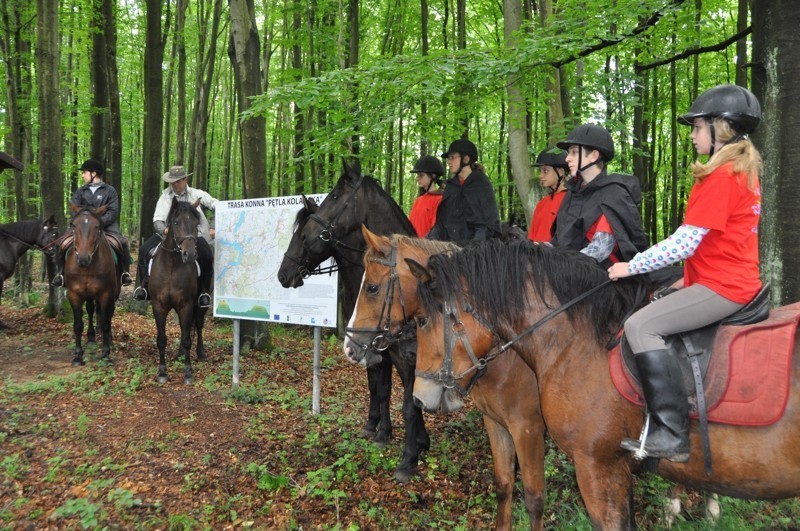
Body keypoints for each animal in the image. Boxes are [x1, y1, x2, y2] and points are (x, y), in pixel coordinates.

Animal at [64, 204, 121, 366]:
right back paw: (90, 338)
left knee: (107, 315)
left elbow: (106, 323)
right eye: (73, 225)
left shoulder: (106, 294)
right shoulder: (73, 294)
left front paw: (106, 355)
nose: (83, 259)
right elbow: (78, 325)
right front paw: (78, 356)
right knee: (91, 310)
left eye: (97, 226)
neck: (87, 268)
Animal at [148, 197, 208, 384]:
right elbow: (161, 339)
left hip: (201, 304)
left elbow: (188, 338)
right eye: (175, 222)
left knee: (198, 324)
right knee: (184, 328)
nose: (190, 255)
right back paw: (180, 354)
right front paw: (162, 372)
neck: (172, 265)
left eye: (196, 223)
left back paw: (200, 353)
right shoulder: (158, 306)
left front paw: (188, 372)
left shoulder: (186, 305)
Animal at [276, 160, 428, 484]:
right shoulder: (377, 349)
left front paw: (409, 456)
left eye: (335, 196)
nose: (283, 274)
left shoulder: (404, 355)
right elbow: (380, 388)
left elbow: (407, 401)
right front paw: (381, 431)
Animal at [410, 240, 800, 528]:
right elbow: (506, 486)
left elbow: (536, 497)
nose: (419, 398)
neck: (580, 340)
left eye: (421, 321)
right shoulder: (503, 426)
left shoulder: (588, 460)